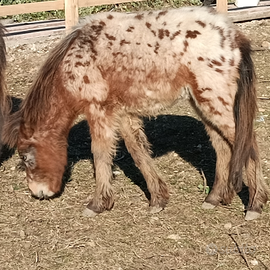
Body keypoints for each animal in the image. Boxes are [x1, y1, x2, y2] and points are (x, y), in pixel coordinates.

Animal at [3, 7, 268, 219]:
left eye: (26, 157)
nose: (39, 193)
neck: (75, 58)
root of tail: (233, 35)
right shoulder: (122, 113)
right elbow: (138, 152)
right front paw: (158, 199)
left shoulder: (98, 110)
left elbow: (101, 154)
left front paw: (98, 204)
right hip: (204, 105)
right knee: (223, 147)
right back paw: (214, 198)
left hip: (215, 103)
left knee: (247, 143)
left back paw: (255, 205)